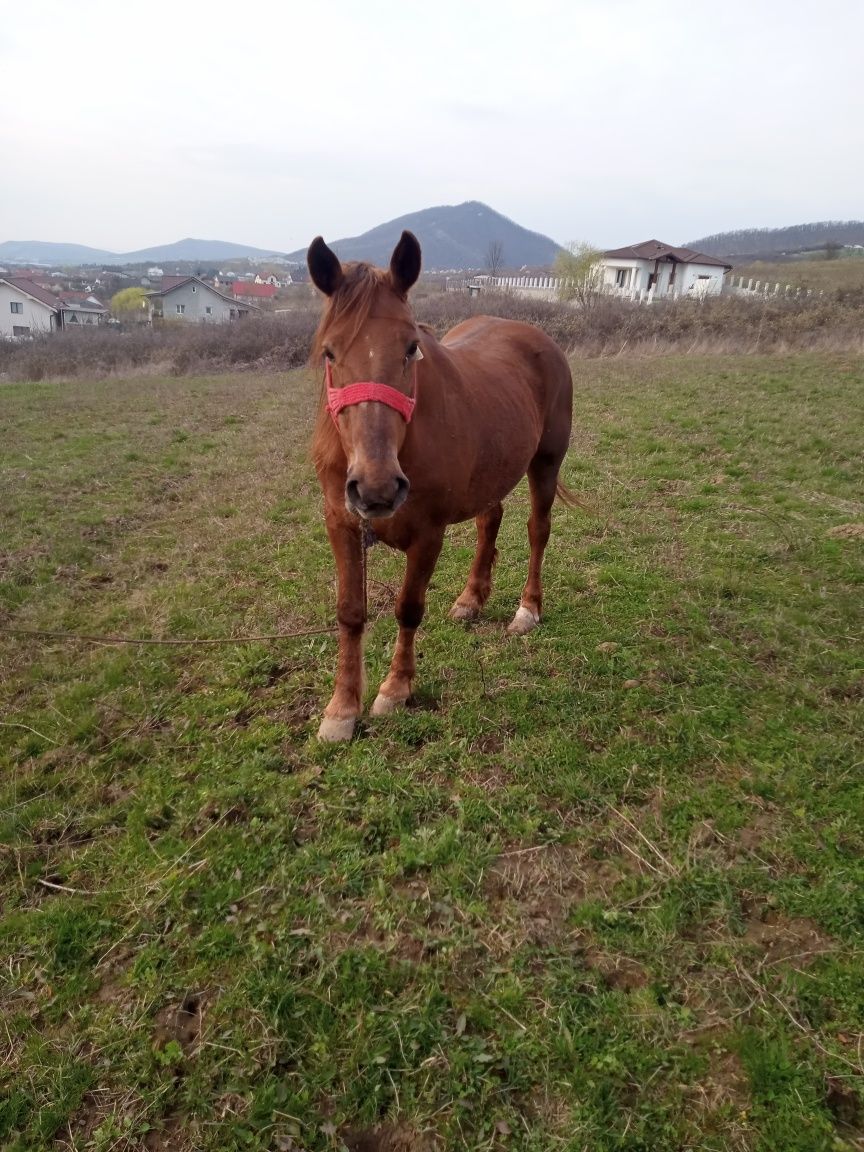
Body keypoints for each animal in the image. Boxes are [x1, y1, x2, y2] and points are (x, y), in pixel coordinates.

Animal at [306, 229, 576, 741]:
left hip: (546, 464)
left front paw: (395, 690)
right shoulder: (341, 524)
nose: (377, 488)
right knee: (490, 521)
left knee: (538, 531)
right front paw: (341, 710)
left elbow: (408, 608)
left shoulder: (428, 535)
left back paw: (527, 610)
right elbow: (350, 613)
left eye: (411, 347)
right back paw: (471, 599)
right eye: (330, 352)